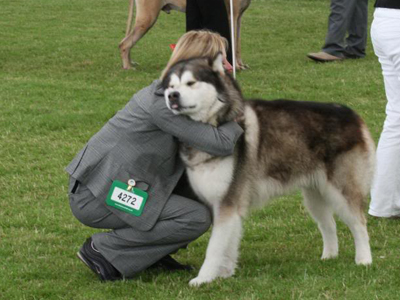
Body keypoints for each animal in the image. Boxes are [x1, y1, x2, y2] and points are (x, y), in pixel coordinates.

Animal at [119, 0, 250, 69]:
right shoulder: (232, 16)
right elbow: (233, 42)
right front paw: (236, 66)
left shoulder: (239, 17)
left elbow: (237, 44)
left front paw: (240, 64)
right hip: (147, 18)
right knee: (124, 44)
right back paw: (128, 67)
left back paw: (130, 62)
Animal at [162, 55, 376, 288]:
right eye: (171, 86)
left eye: (191, 83)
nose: (172, 96)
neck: (209, 127)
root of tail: (352, 114)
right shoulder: (225, 206)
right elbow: (228, 244)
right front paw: (225, 273)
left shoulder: (227, 202)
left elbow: (215, 247)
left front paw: (204, 278)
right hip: (315, 195)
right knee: (329, 224)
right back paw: (329, 256)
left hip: (341, 189)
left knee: (359, 223)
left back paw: (364, 260)